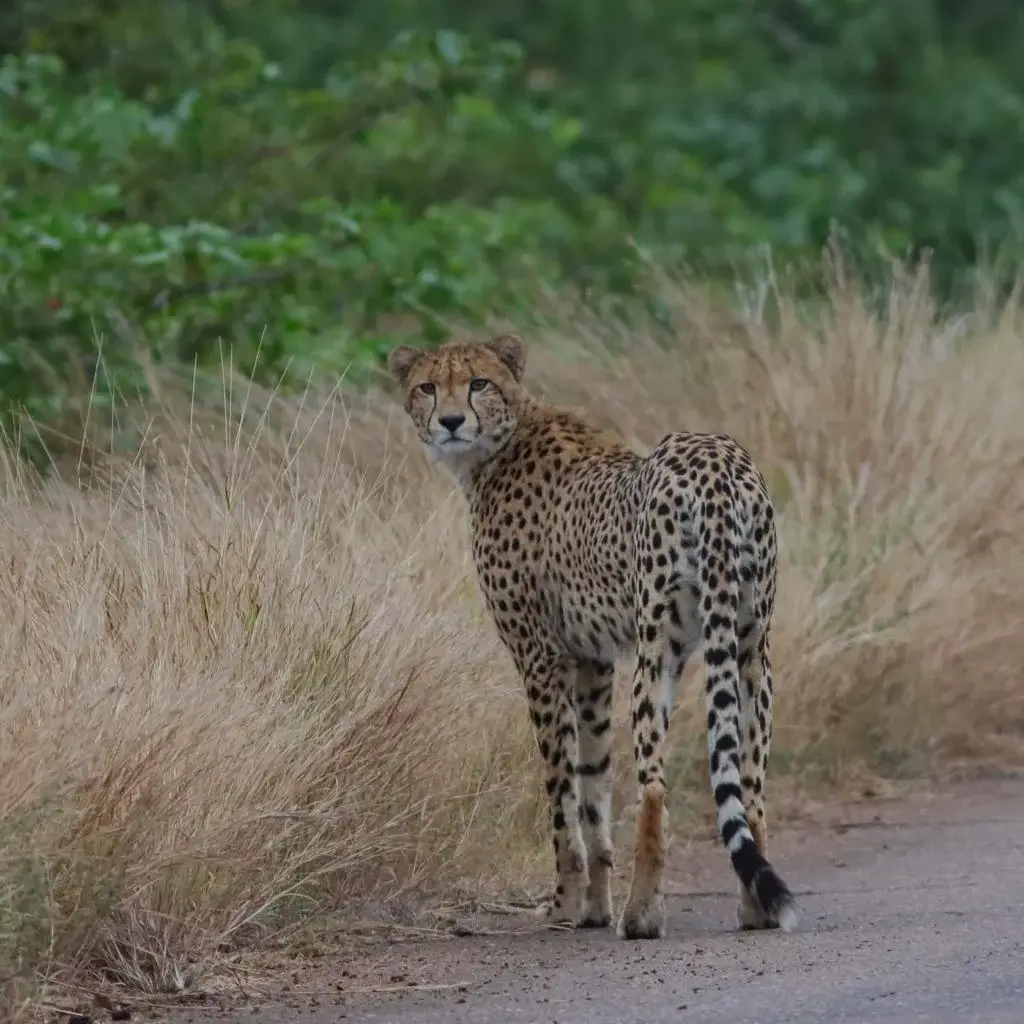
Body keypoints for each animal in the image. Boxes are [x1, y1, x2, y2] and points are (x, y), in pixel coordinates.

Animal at [387, 333, 794, 937]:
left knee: (654, 787)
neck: (501, 442)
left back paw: (642, 916)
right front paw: (594, 906)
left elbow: (562, 791)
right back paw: (753, 909)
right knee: (751, 784)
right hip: (750, 645)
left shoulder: (540, 657)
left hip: (656, 650)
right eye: (428, 386)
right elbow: (595, 784)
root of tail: (716, 455)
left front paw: (564, 904)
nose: (452, 421)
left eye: (479, 383)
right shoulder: (592, 661)